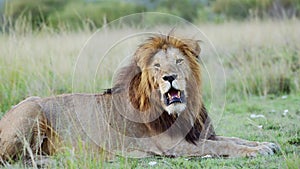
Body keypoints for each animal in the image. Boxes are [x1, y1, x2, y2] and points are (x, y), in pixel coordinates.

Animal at [0, 34, 278, 164]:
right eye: (157, 66)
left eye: (179, 61)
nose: (169, 77)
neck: (184, 110)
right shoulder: (175, 146)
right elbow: (222, 147)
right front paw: (258, 150)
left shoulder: (199, 134)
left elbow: (235, 139)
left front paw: (266, 144)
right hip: (31, 109)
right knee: (15, 158)